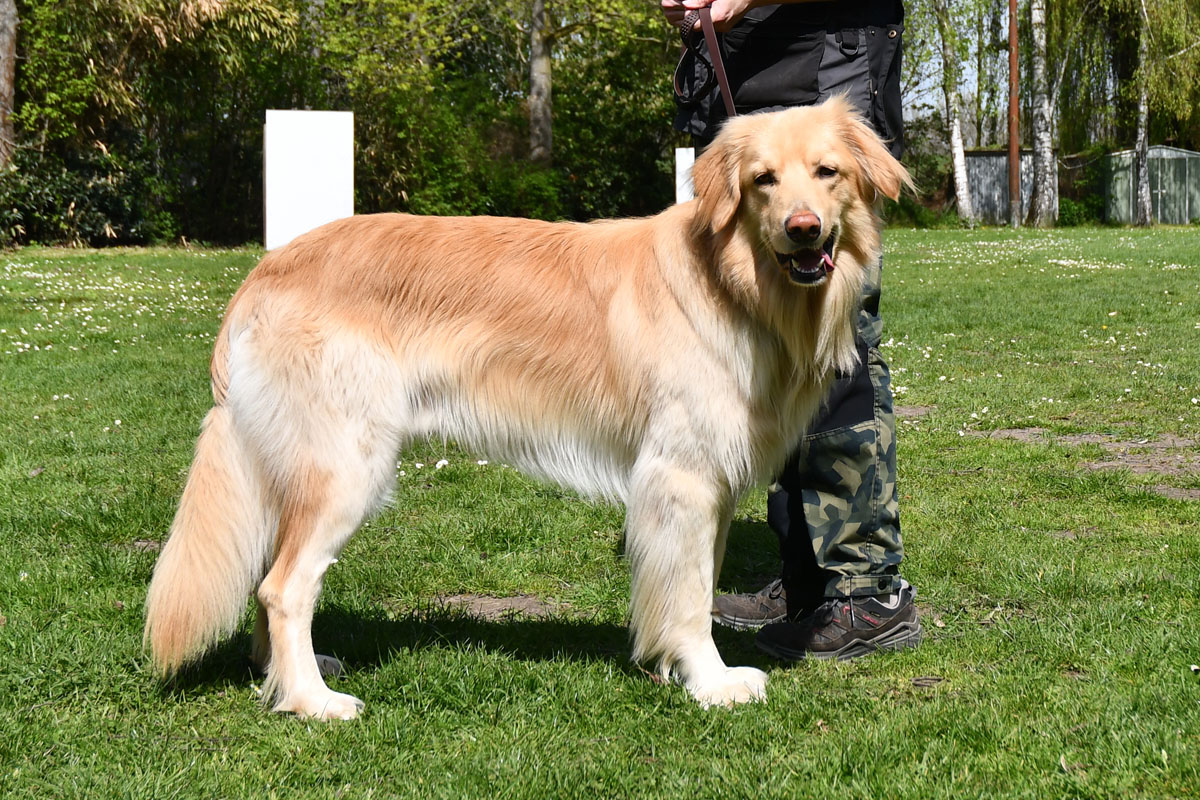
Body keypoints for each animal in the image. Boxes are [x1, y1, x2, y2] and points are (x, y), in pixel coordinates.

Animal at [145, 97, 902, 714]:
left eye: (827, 173)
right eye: (762, 181)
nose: (804, 230)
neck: (735, 284)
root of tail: (265, 270)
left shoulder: (708, 484)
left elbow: (697, 583)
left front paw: (670, 668)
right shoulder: (681, 477)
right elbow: (689, 597)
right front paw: (711, 682)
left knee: (266, 577)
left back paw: (276, 674)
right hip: (346, 467)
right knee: (283, 587)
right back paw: (310, 700)